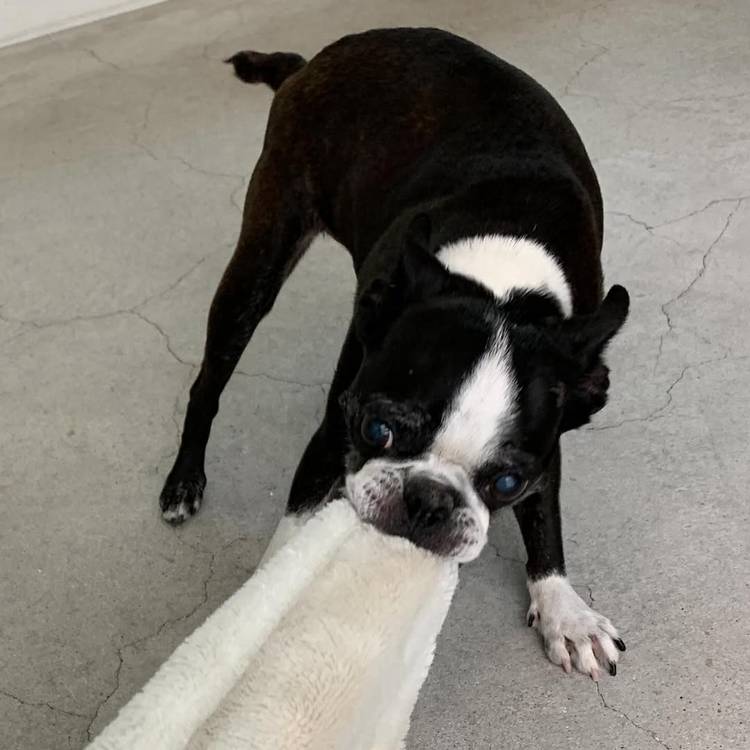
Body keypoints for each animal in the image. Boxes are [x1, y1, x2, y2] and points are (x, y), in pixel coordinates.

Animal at [159, 28, 629, 680]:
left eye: (508, 482)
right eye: (377, 429)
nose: (429, 500)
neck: (498, 287)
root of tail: (310, 63)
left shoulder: (549, 434)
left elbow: (547, 518)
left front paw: (565, 609)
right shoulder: (336, 427)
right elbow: (294, 527)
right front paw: (271, 607)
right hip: (260, 257)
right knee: (209, 381)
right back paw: (184, 480)